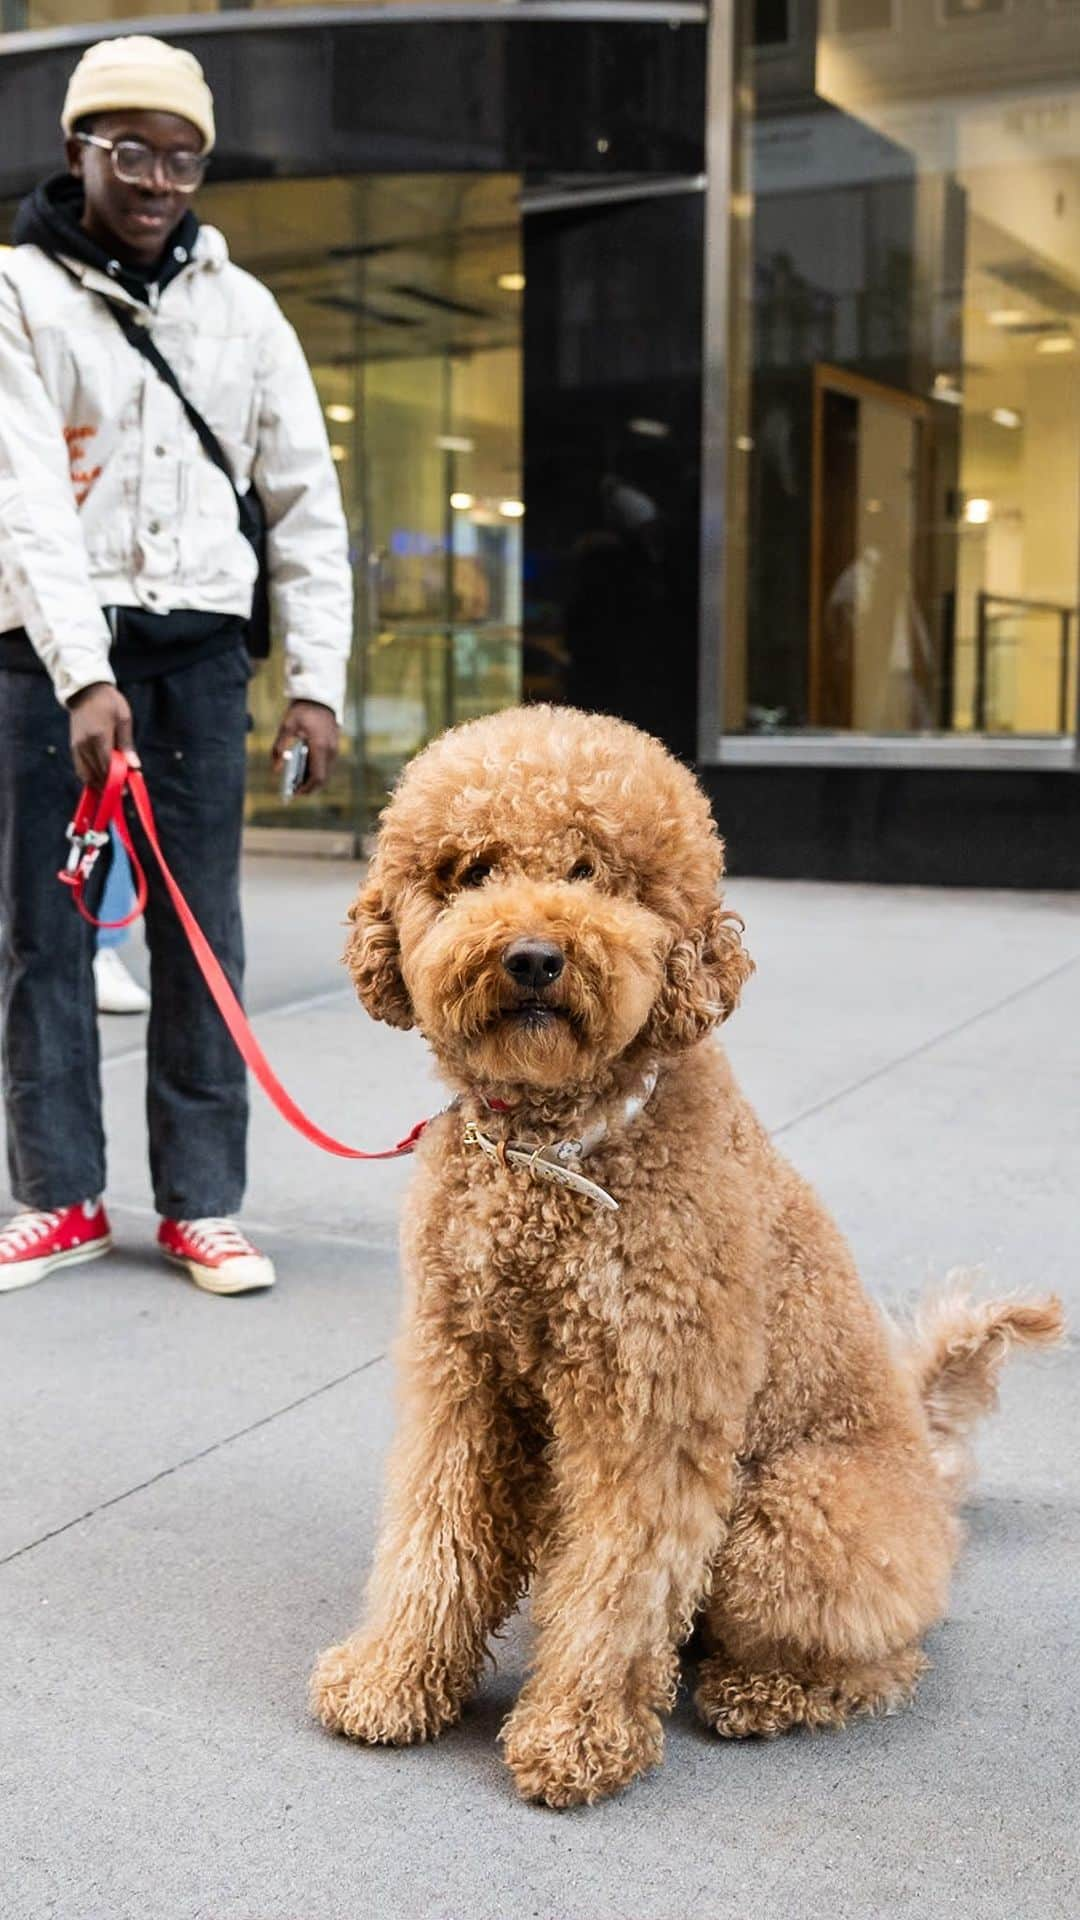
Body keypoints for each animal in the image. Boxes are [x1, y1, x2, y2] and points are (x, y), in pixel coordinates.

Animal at [307, 702, 1053, 1797]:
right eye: (472, 870)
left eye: (592, 871)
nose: (533, 956)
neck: (552, 1149)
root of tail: (935, 1487)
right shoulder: (464, 1377)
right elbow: (433, 1534)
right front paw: (393, 1680)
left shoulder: (648, 1407)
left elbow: (618, 1586)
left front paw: (575, 1735)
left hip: (788, 1523)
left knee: (882, 1652)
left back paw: (762, 1692)